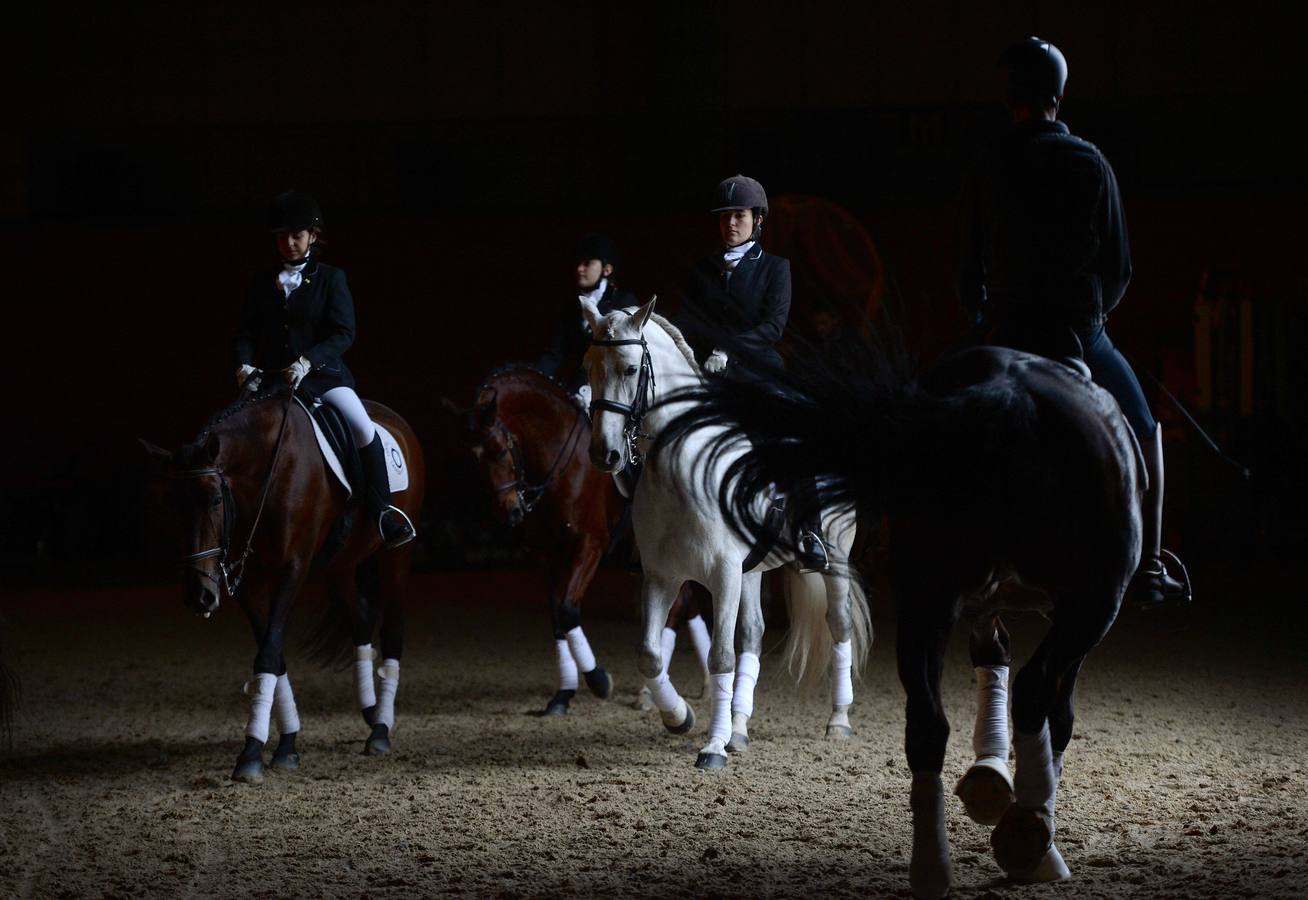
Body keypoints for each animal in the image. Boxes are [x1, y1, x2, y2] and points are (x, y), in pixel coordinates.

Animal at [145, 381, 426, 784]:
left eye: (215, 500)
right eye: (172, 506)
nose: (200, 596)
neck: (263, 472)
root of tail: (396, 420)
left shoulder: (291, 569)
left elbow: (268, 652)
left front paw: (250, 753)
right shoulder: (249, 579)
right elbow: (274, 655)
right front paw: (287, 743)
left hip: (396, 557)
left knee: (392, 630)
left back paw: (381, 729)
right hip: (341, 564)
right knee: (360, 622)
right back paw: (371, 710)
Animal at [457, 366, 711, 716]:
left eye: (499, 449)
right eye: (473, 458)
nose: (510, 512)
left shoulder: (589, 545)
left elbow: (567, 609)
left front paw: (599, 680)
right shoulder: (548, 554)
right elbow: (556, 616)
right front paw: (562, 695)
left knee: (679, 608)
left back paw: (654, 691)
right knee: (685, 605)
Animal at [580, 296, 868, 763]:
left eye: (629, 368)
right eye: (588, 366)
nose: (604, 454)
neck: (678, 468)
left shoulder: (723, 572)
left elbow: (720, 657)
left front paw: (712, 748)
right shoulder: (662, 576)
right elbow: (650, 654)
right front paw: (680, 718)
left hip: (834, 556)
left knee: (837, 624)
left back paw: (838, 721)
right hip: (751, 570)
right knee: (752, 635)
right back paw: (739, 728)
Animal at [659, 337, 1140, 894]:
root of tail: (1007, 392)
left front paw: (991, 776)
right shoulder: (1083, 610)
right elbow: (1054, 712)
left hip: (916, 590)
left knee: (922, 711)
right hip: (1077, 603)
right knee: (1027, 690)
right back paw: (1018, 838)